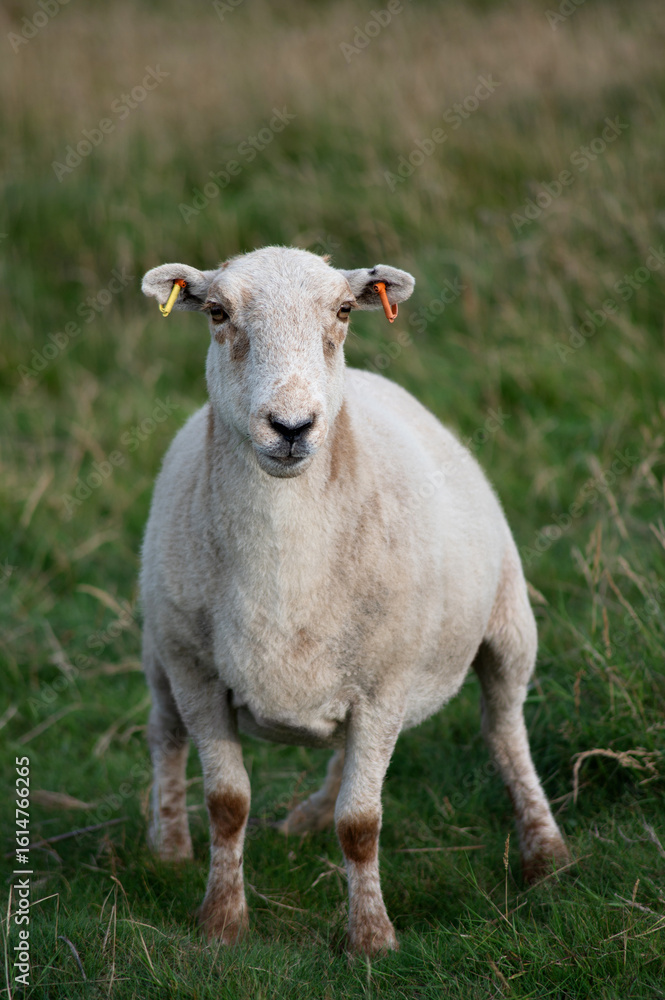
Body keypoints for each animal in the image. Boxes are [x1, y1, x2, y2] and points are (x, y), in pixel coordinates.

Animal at [140, 245, 569, 955]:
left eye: (343, 311)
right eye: (217, 312)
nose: (291, 427)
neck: (285, 571)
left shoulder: (385, 686)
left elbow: (362, 822)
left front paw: (370, 938)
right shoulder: (197, 675)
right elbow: (227, 805)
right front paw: (221, 923)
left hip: (508, 625)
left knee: (505, 731)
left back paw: (546, 853)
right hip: (159, 650)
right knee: (165, 733)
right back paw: (173, 845)